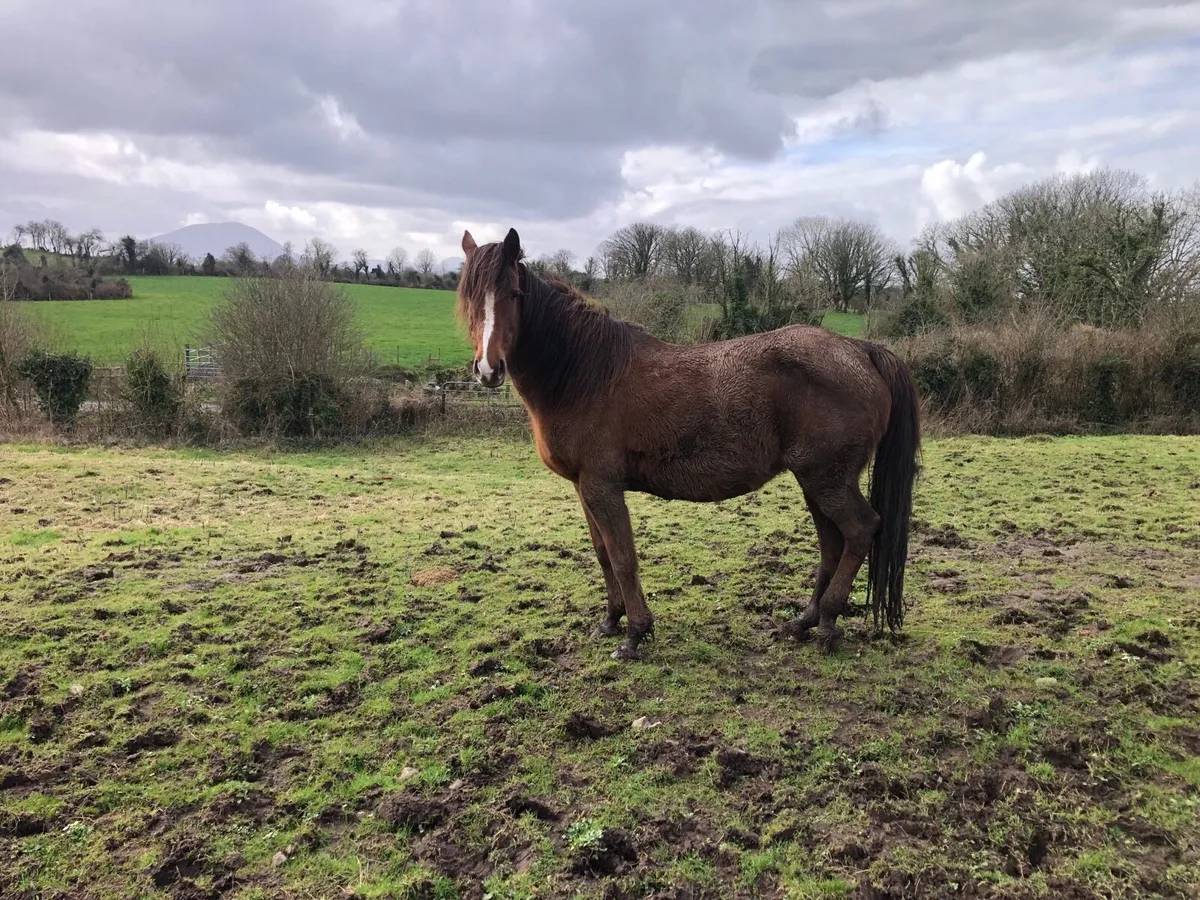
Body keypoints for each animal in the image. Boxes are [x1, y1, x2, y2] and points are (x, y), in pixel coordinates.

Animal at [456, 227, 921, 661]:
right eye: (469, 297)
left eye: (514, 294)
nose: (488, 369)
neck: (586, 374)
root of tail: (859, 350)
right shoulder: (582, 486)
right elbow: (603, 553)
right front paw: (610, 621)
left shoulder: (602, 486)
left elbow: (623, 557)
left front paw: (634, 635)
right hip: (815, 481)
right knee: (832, 543)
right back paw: (803, 621)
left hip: (828, 480)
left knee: (860, 530)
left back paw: (827, 623)